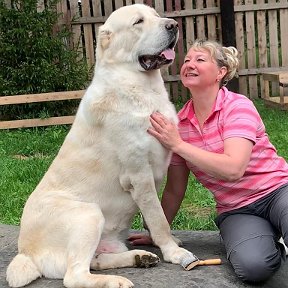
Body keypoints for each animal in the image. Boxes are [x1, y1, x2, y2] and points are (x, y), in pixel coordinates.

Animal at [6, 4, 196, 288]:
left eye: (155, 14)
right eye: (138, 22)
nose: (173, 25)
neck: (140, 86)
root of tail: (25, 252)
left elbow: (155, 216)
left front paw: (164, 243)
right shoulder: (139, 175)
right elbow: (158, 218)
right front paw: (173, 251)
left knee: (94, 261)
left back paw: (139, 257)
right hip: (89, 213)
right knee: (74, 276)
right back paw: (116, 280)